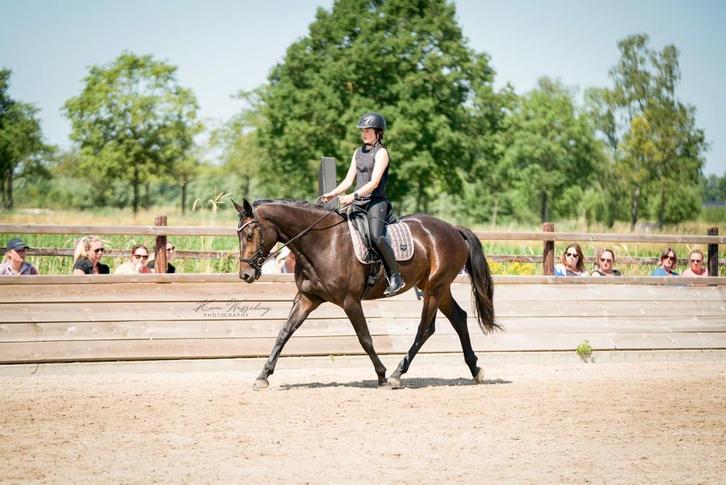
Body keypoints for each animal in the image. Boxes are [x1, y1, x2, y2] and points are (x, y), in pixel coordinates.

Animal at [233, 199, 499, 389]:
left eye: (250, 235)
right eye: (238, 235)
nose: (245, 274)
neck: (322, 241)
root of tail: (453, 229)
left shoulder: (350, 301)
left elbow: (365, 338)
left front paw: (381, 376)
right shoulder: (308, 298)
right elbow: (284, 333)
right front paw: (263, 375)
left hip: (435, 288)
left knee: (426, 329)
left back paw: (396, 374)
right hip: (435, 288)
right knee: (459, 318)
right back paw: (475, 370)